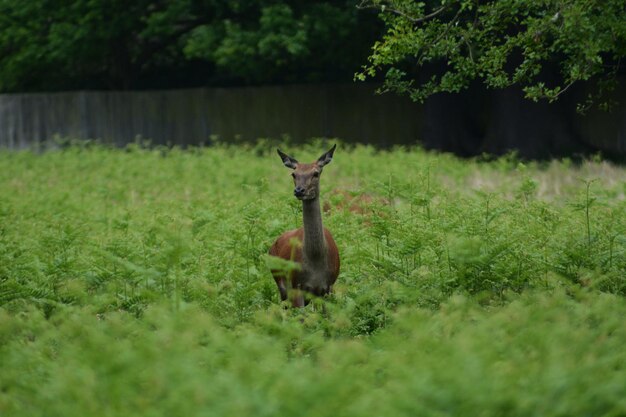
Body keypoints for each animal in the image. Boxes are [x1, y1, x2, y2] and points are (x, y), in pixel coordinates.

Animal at [266, 145, 338, 308]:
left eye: (316, 173)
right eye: (294, 174)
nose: (299, 190)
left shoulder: (328, 287)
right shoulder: (296, 286)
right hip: (281, 283)